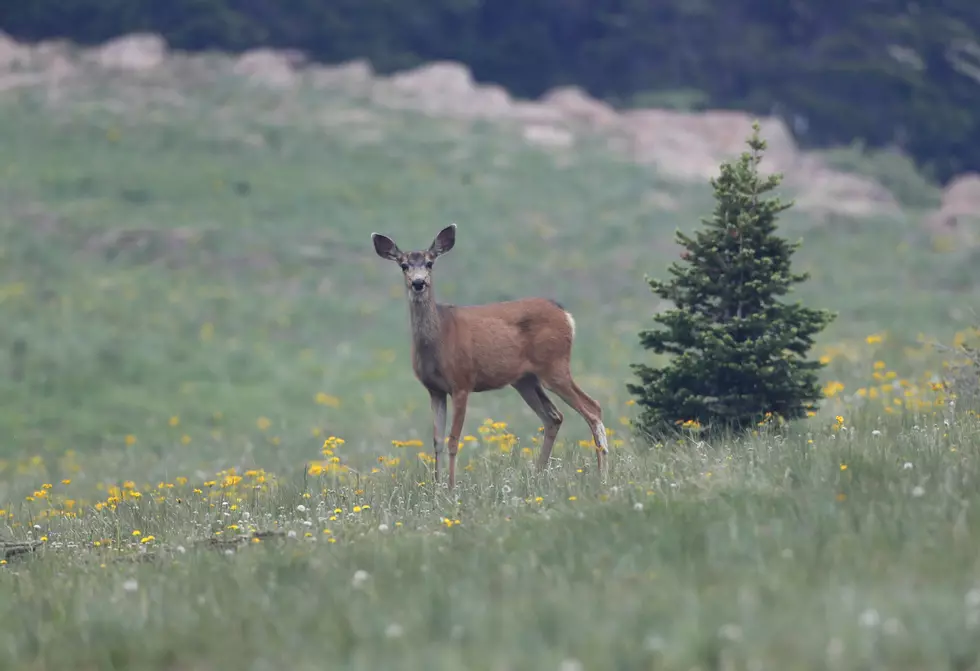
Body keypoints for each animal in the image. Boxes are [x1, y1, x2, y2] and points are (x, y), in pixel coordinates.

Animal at [372, 223, 608, 490]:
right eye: (404, 265)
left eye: (430, 263)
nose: (419, 283)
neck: (439, 338)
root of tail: (566, 315)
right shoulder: (435, 389)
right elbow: (437, 441)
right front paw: (436, 488)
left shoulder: (462, 382)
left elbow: (454, 439)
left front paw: (451, 488)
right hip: (525, 380)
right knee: (554, 417)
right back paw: (538, 475)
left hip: (554, 365)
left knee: (592, 408)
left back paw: (602, 475)